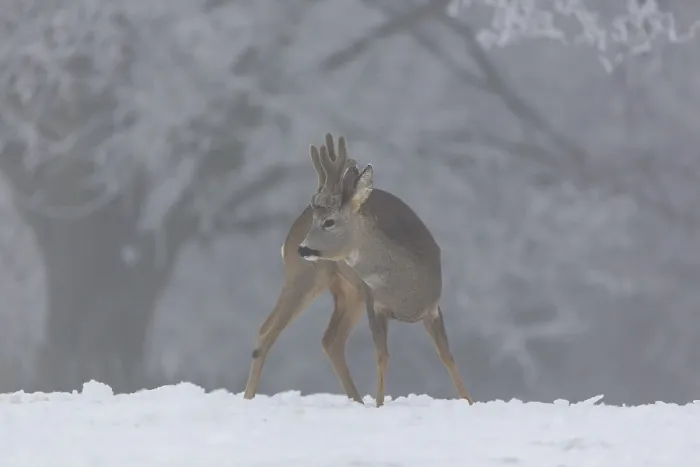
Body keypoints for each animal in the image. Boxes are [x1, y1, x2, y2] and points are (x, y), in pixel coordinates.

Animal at [243, 133, 473, 407]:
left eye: (329, 222)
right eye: (316, 221)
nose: (303, 248)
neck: (406, 287)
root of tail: (292, 230)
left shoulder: (433, 307)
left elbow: (448, 356)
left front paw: (470, 403)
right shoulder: (375, 302)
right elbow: (382, 356)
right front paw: (380, 404)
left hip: (349, 291)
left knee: (331, 340)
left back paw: (357, 401)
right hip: (306, 276)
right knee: (267, 331)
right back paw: (247, 398)